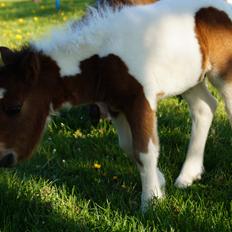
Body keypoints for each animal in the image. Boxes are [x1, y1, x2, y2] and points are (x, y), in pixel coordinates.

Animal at [0, 0, 231, 211]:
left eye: (15, 108)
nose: (4, 158)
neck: (103, 60)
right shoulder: (115, 105)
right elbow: (128, 146)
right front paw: (161, 182)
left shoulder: (142, 99)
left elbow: (144, 150)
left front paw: (151, 202)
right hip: (190, 80)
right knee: (204, 108)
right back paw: (188, 176)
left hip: (223, 76)